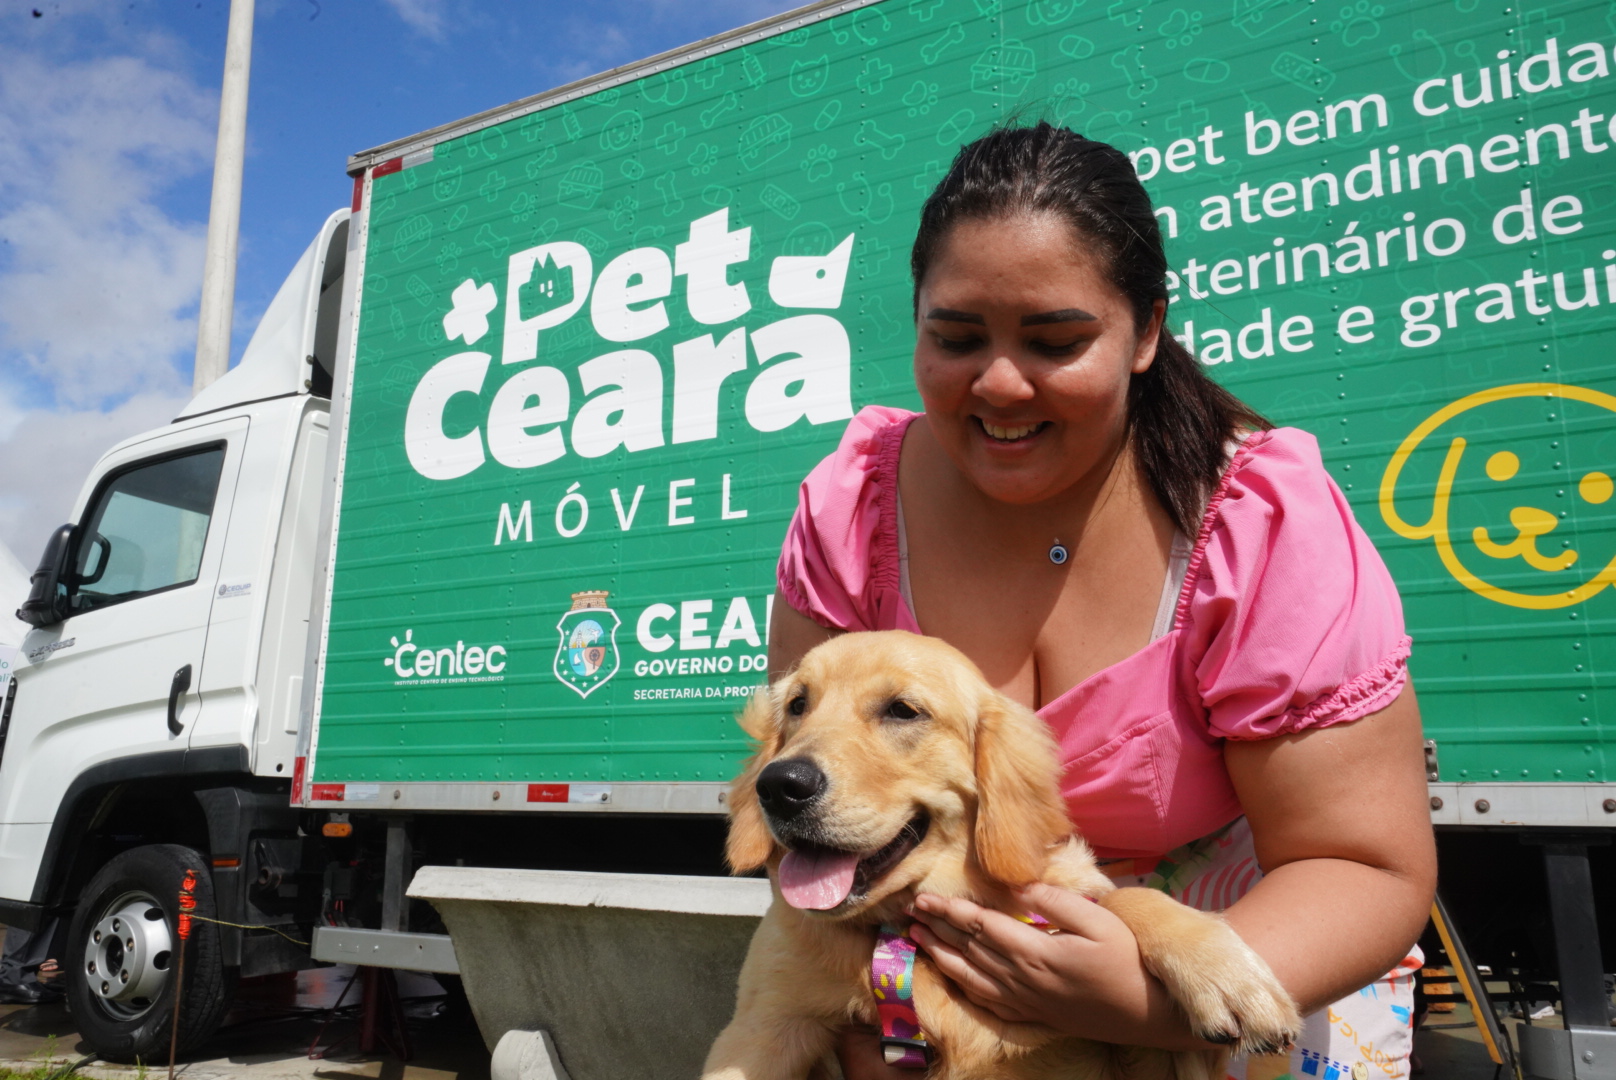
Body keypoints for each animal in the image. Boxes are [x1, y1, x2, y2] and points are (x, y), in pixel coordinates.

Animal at [707, 633, 1299, 1080]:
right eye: (797, 705)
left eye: (903, 711)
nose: (779, 786)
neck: (902, 932)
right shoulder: (762, 1028)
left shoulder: (1165, 1056)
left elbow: (1121, 900)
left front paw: (1224, 975)